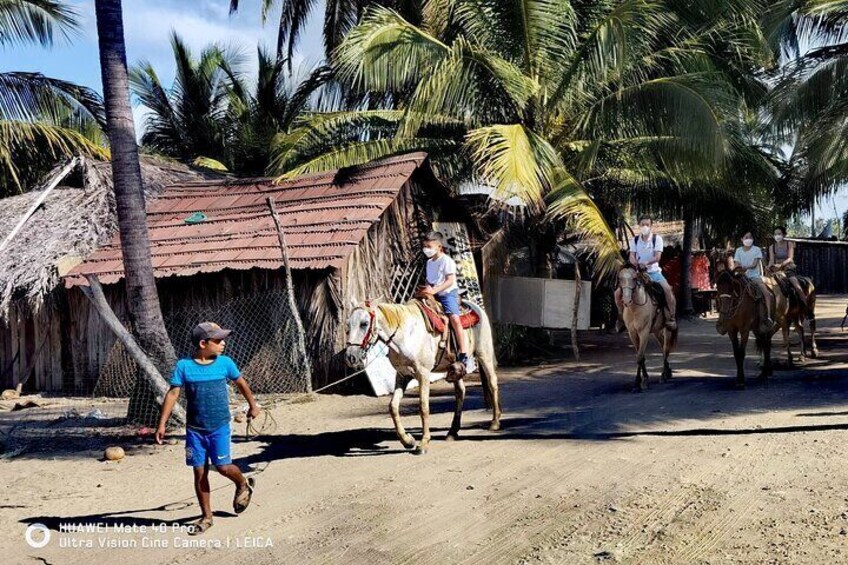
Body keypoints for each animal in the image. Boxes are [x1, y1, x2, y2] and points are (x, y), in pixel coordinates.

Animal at [346, 300, 504, 454]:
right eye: (348, 324)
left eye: (364, 323)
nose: (350, 357)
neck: (406, 336)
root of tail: (476, 306)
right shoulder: (402, 376)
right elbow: (393, 406)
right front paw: (408, 441)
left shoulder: (423, 375)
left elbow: (423, 407)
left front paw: (423, 443)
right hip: (455, 370)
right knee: (460, 392)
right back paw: (452, 432)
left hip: (484, 354)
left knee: (492, 383)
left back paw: (495, 422)